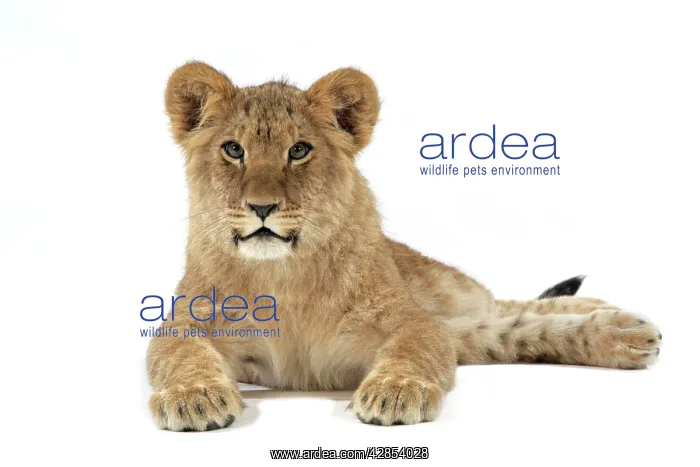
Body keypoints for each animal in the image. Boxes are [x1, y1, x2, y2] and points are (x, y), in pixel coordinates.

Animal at [146, 61, 662, 431]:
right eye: (233, 150)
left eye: (299, 150)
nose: (262, 207)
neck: (284, 275)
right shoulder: (184, 322)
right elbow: (180, 353)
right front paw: (194, 397)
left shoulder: (414, 321)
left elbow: (411, 350)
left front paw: (394, 392)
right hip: (469, 336)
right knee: (511, 327)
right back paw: (622, 328)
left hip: (447, 293)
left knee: (503, 305)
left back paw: (617, 319)